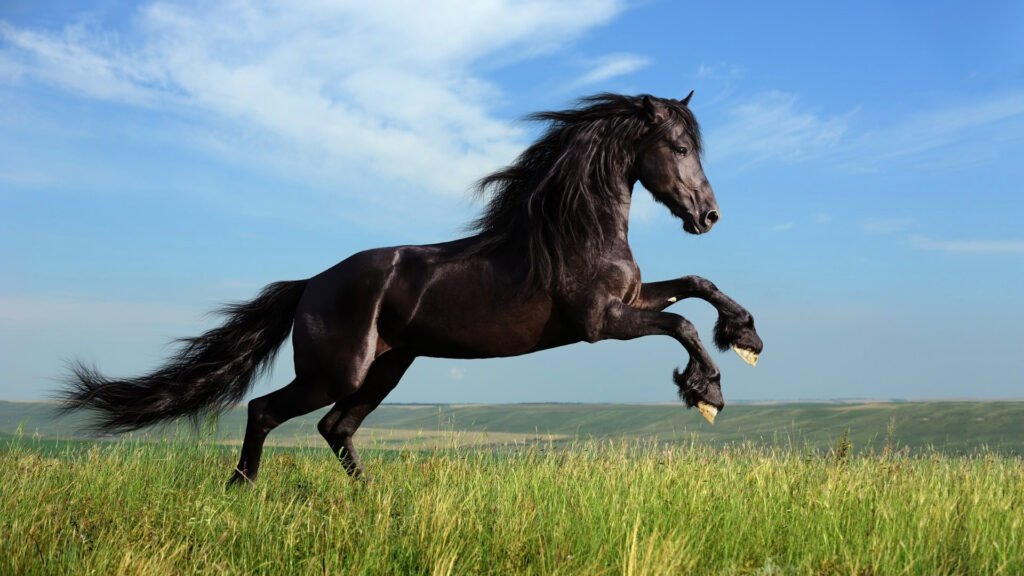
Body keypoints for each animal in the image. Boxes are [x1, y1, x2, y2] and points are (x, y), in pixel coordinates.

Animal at [60, 92, 764, 485]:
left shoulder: (630, 300)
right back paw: (240, 489)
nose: (708, 216)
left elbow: (696, 285)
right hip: (336, 371)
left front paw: (746, 337)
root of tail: (310, 285)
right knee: (267, 412)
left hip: (388, 368)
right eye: (678, 147)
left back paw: (371, 499)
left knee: (336, 428)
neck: (574, 230)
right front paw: (706, 392)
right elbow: (681, 323)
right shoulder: (600, 322)